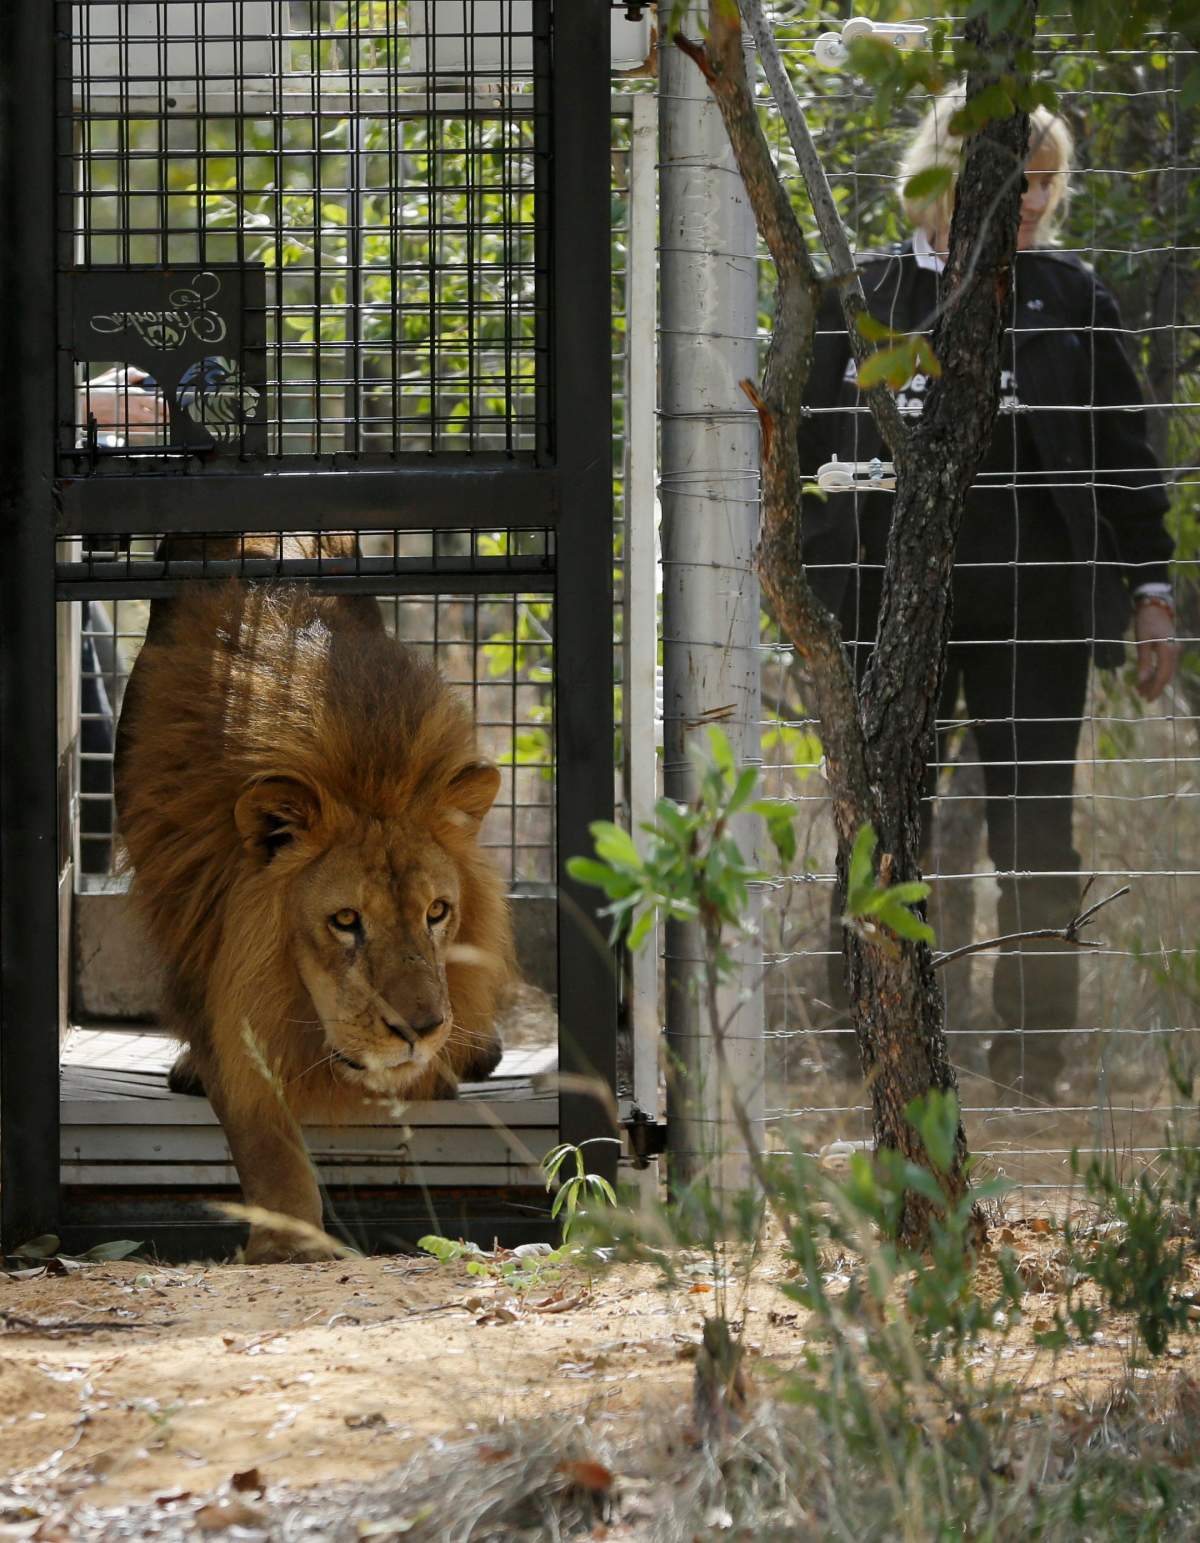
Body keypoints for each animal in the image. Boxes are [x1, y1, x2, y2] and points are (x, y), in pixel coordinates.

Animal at [114, 565, 512, 1263]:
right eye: (346, 921)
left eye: (438, 911)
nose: (420, 1028)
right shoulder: (216, 974)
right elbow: (265, 1133)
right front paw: (291, 1242)